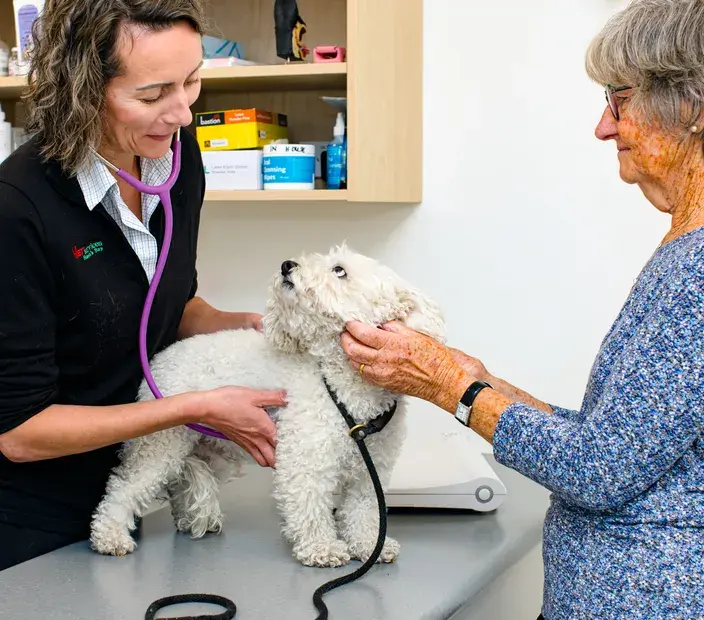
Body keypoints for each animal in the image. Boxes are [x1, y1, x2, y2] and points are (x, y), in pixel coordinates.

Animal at [89, 243, 446, 568]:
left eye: (339, 270)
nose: (287, 265)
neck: (344, 387)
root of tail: (159, 358)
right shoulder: (306, 461)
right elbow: (310, 508)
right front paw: (322, 549)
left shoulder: (369, 473)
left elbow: (365, 513)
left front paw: (371, 545)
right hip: (161, 443)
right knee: (124, 487)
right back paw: (109, 535)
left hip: (210, 452)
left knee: (180, 483)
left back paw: (189, 520)